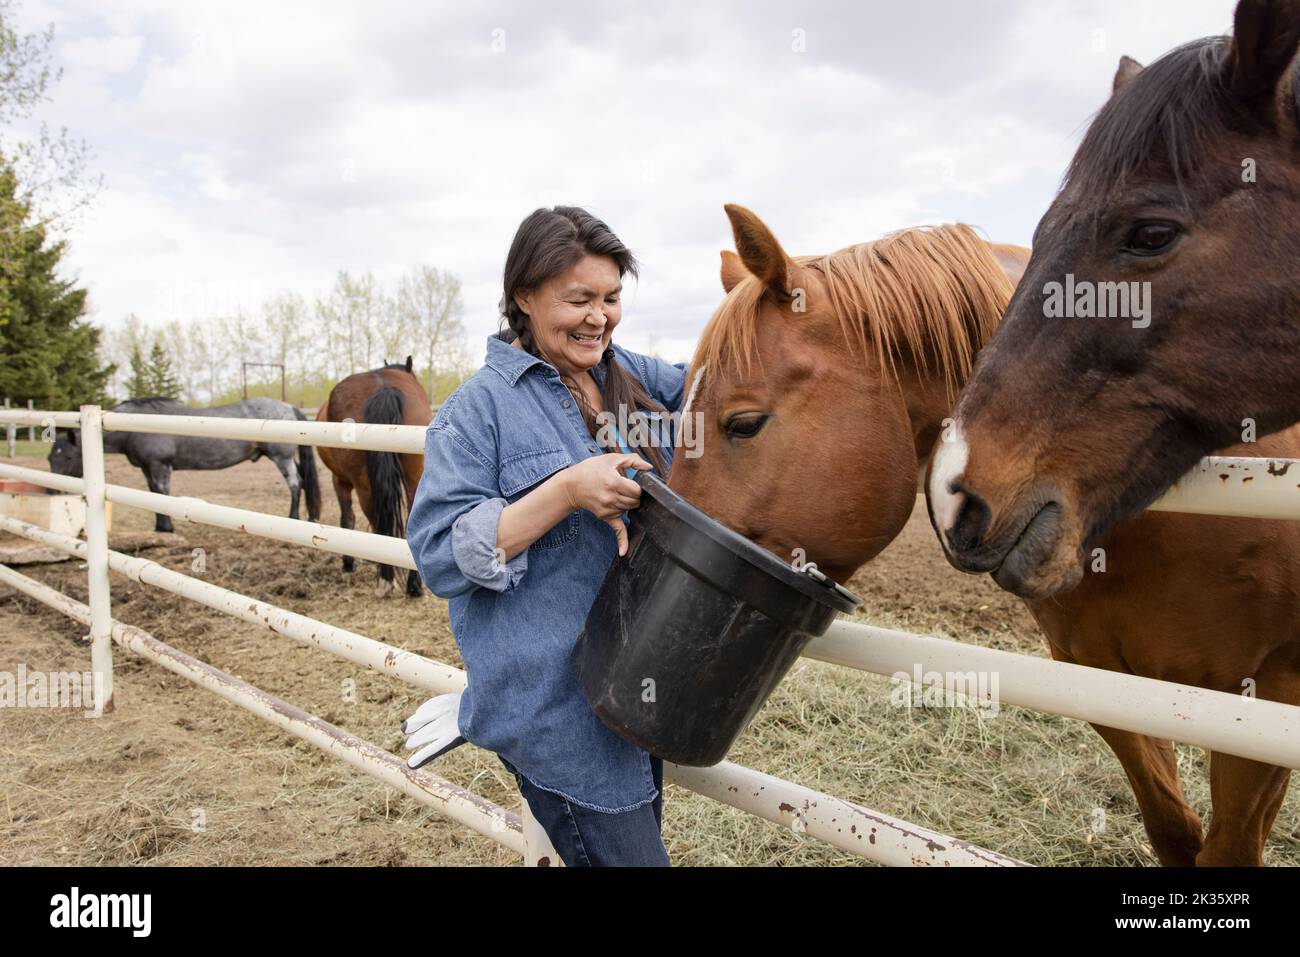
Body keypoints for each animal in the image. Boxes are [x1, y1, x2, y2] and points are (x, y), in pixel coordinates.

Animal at [48, 396, 321, 533]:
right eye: (51, 457)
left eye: (69, 457)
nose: (51, 491)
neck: (135, 425)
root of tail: (289, 407)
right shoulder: (147, 467)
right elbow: (153, 494)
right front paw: (160, 527)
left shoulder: (160, 465)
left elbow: (162, 493)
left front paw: (167, 526)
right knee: (303, 481)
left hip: (281, 457)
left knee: (295, 483)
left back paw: (293, 517)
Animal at [316, 357, 431, 598]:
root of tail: (383, 388)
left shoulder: (339, 480)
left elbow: (347, 519)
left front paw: (349, 563)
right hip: (415, 478)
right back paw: (414, 585)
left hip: (364, 486)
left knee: (378, 522)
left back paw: (385, 581)